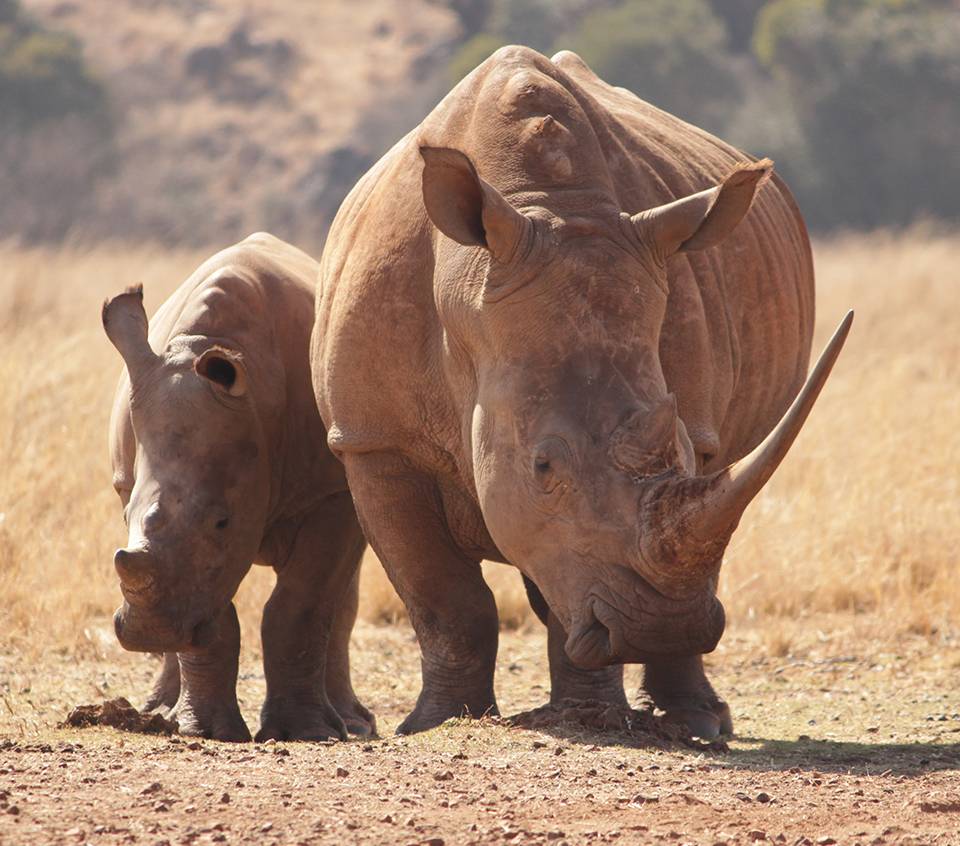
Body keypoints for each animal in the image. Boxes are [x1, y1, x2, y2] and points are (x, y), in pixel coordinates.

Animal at [103, 232, 374, 742]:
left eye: (222, 522)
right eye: (124, 514)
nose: (149, 633)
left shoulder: (330, 493)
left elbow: (302, 603)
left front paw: (306, 733)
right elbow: (212, 607)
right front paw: (205, 731)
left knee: (340, 594)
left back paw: (352, 724)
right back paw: (160, 712)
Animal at [311, 46, 852, 738]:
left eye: (684, 451)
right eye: (543, 465)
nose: (660, 628)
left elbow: (567, 576)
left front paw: (589, 717)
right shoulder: (373, 440)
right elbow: (442, 596)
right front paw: (436, 723)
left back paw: (698, 724)